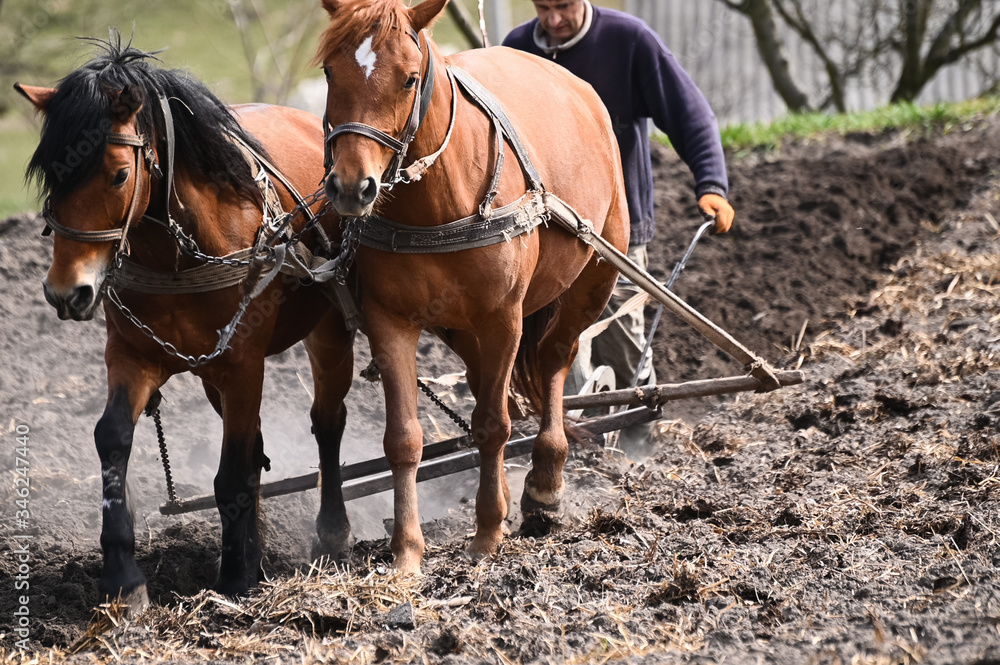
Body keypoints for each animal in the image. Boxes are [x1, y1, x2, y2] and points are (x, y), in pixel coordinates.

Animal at [17, 36, 357, 607]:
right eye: (52, 175)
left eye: (119, 174)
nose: (67, 292)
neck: (177, 253)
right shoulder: (133, 355)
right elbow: (112, 438)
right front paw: (123, 576)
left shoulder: (243, 363)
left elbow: (233, 472)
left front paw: (236, 579)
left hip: (328, 331)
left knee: (327, 424)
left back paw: (330, 535)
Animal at [315, 0, 629, 573]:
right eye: (330, 72)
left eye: (409, 79)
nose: (351, 186)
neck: (438, 203)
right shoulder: (390, 321)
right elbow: (404, 438)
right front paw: (407, 552)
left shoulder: (503, 318)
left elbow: (492, 424)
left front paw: (485, 535)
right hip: (460, 325)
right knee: (490, 378)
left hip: (594, 277)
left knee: (554, 358)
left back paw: (544, 485)